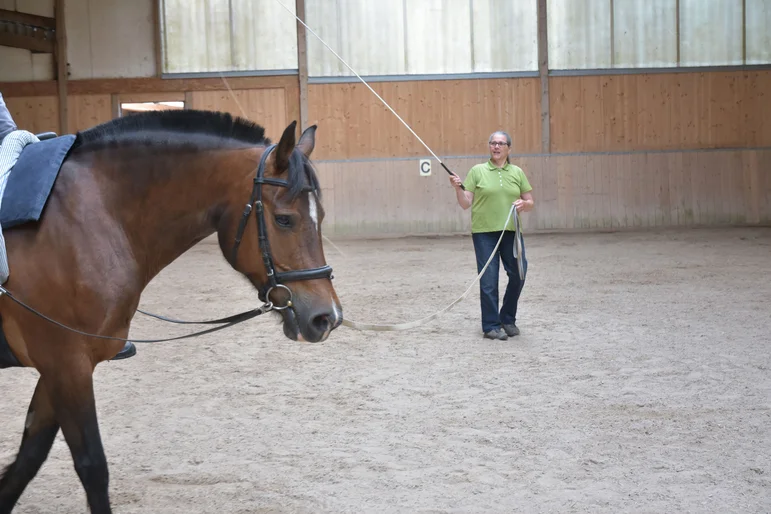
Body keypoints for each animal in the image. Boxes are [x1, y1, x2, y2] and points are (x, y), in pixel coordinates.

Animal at [0, 109, 343, 513]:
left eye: (320, 215)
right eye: (284, 219)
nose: (326, 317)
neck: (88, 218)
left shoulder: (58, 367)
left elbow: (27, 459)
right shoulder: (66, 362)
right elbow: (92, 466)